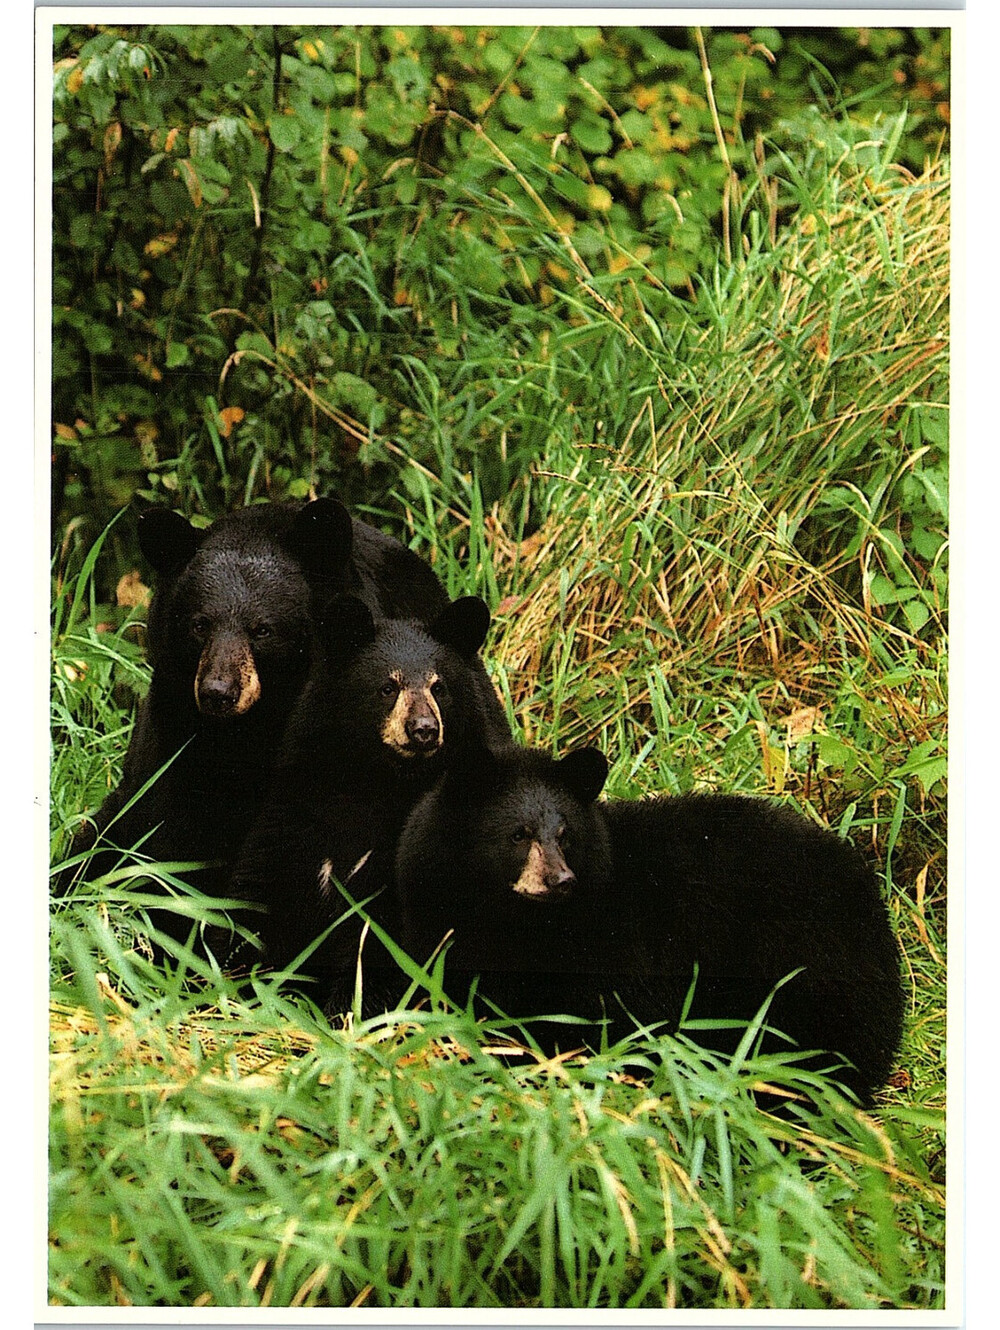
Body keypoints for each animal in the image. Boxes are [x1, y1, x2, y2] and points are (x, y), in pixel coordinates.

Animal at [62, 496, 476, 949]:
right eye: (200, 624)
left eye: (262, 629)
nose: (218, 692)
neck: (256, 726)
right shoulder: (177, 728)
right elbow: (171, 832)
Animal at [225, 592, 506, 1007]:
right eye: (388, 687)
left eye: (439, 687)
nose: (424, 730)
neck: (376, 780)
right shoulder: (296, 808)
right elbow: (259, 896)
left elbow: (380, 938)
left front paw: (351, 1009)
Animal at [393, 743, 905, 1104]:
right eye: (518, 834)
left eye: (565, 833)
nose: (561, 879)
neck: (515, 925)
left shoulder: (618, 956)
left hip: (807, 982)